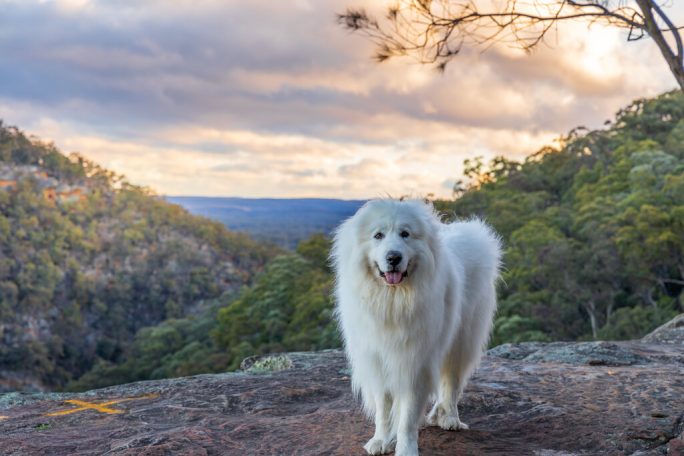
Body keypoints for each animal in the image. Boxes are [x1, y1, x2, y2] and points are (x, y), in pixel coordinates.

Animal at [332, 200, 502, 456]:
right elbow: (384, 409)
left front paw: (405, 449)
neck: (393, 300)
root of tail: (471, 232)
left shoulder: (415, 363)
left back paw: (450, 418)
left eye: (405, 234)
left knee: (451, 383)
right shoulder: (379, 361)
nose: (393, 257)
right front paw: (381, 440)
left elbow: (408, 416)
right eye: (378, 235)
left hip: (461, 341)